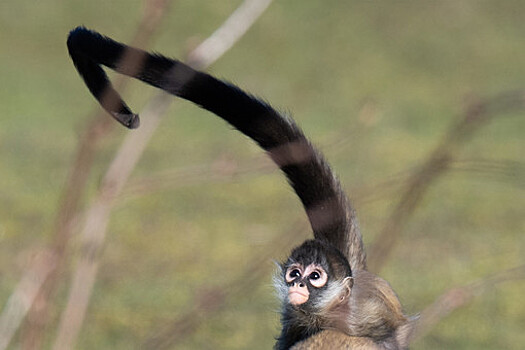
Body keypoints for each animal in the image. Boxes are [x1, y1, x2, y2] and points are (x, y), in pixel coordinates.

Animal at [67, 26, 416, 348]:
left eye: (315, 277)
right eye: (295, 273)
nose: (298, 285)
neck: (331, 311)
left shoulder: (364, 314)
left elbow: (393, 332)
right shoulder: (295, 316)